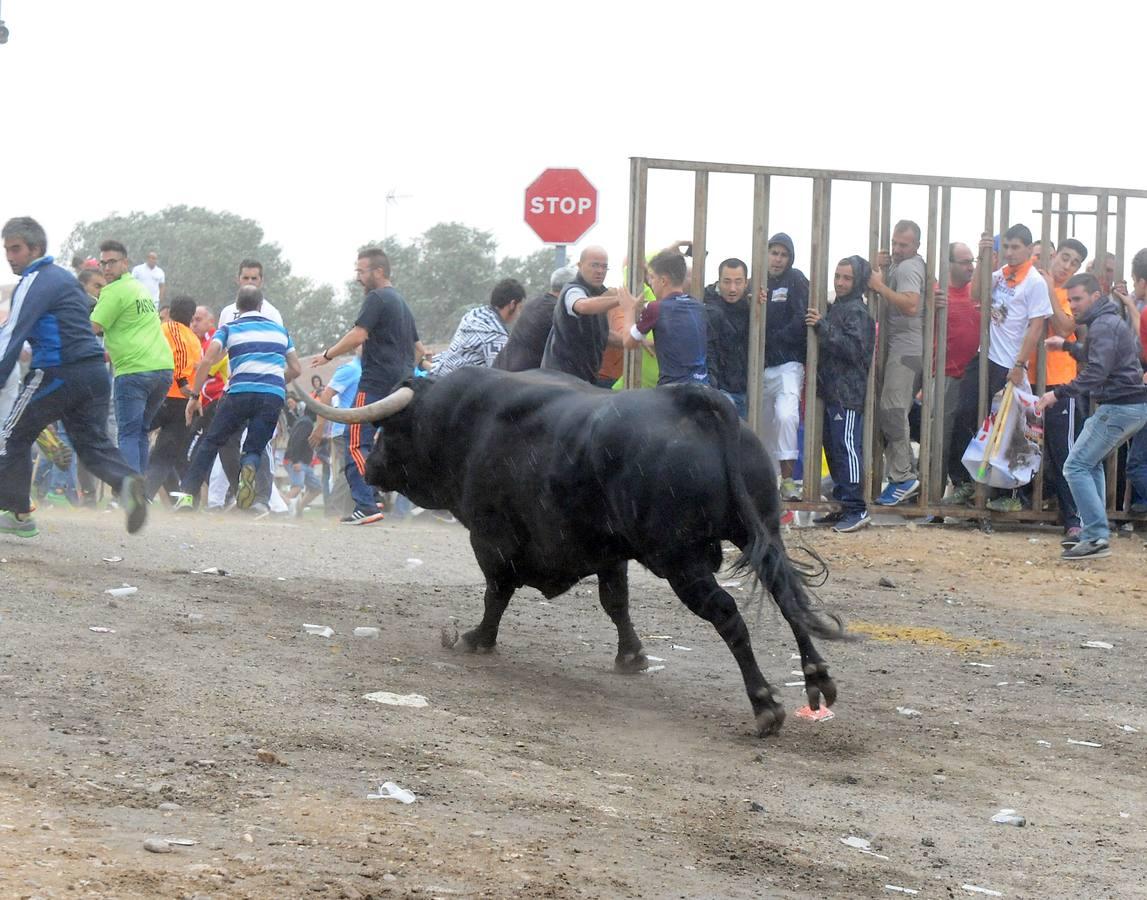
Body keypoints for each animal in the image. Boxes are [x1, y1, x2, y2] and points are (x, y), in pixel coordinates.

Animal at [300, 369, 848, 733]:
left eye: (390, 430)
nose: (370, 466)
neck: (466, 422)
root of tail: (693, 400)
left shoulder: (490, 539)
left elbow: (496, 594)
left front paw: (476, 638)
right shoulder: (610, 553)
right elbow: (615, 602)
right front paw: (632, 655)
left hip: (681, 560)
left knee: (728, 614)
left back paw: (764, 703)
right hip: (761, 532)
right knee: (787, 595)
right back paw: (816, 675)